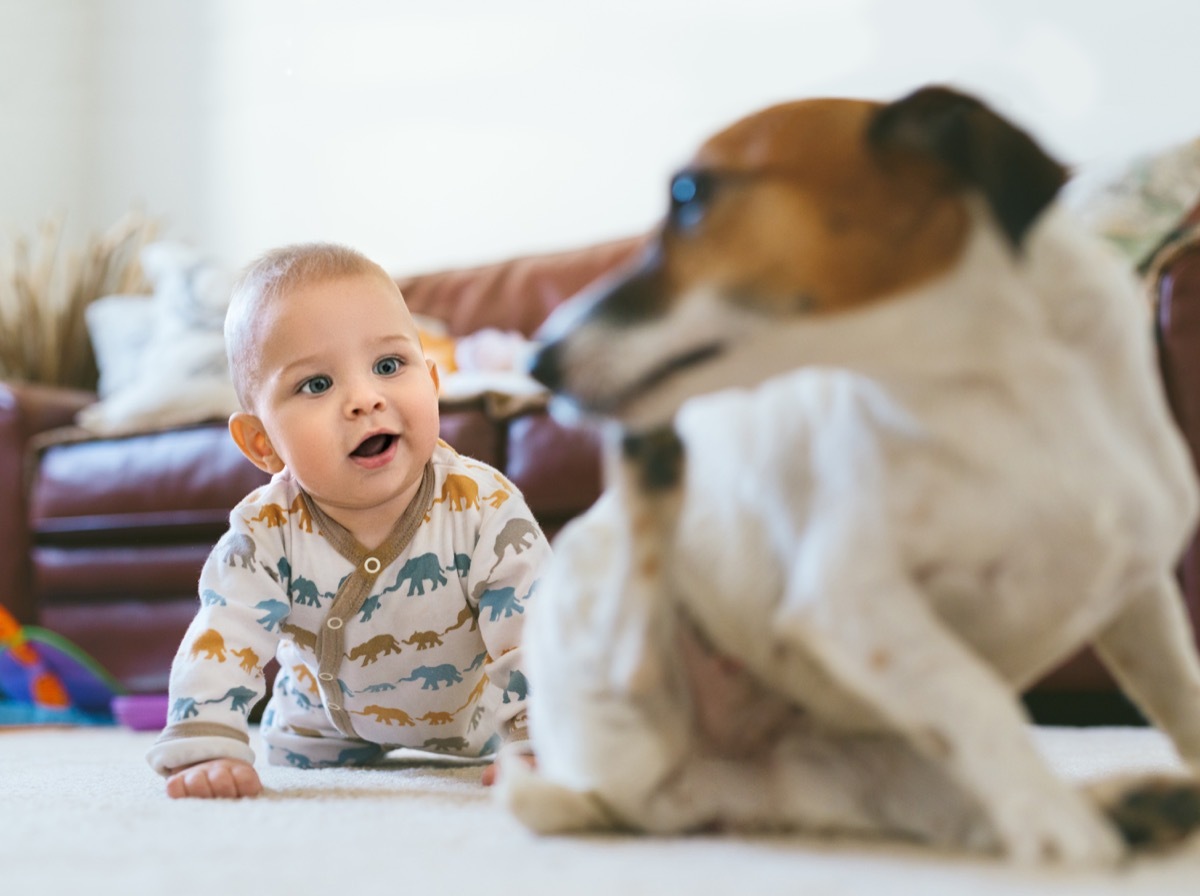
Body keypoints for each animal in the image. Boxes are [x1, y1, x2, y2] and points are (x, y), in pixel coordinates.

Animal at [492, 87, 1200, 863]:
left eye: (688, 195)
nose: (536, 361)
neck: (1011, 389)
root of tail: (723, 788)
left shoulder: (1140, 596)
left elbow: (1179, 698)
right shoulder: (849, 600)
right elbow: (974, 693)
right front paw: (1064, 835)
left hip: (900, 770)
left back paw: (1135, 803)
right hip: (602, 628)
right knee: (633, 654)